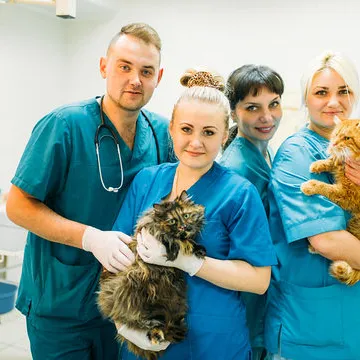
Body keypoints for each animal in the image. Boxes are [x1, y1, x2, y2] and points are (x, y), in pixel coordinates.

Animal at [97, 190, 207, 358]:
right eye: (173, 221)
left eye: (186, 215)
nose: (184, 227)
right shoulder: (153, 230)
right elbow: (173, 239)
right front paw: (182, 246)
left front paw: (197, 248)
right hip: (131, 290)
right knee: (138, 321)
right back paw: (156, 334)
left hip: (173, 303)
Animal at [300, 116, 360, 286]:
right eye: (335, 135)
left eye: (347, 138)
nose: (332, 143)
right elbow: (333, 160)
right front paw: (318, 163)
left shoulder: (347, 195)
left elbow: (325, 187)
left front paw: (310, 185)